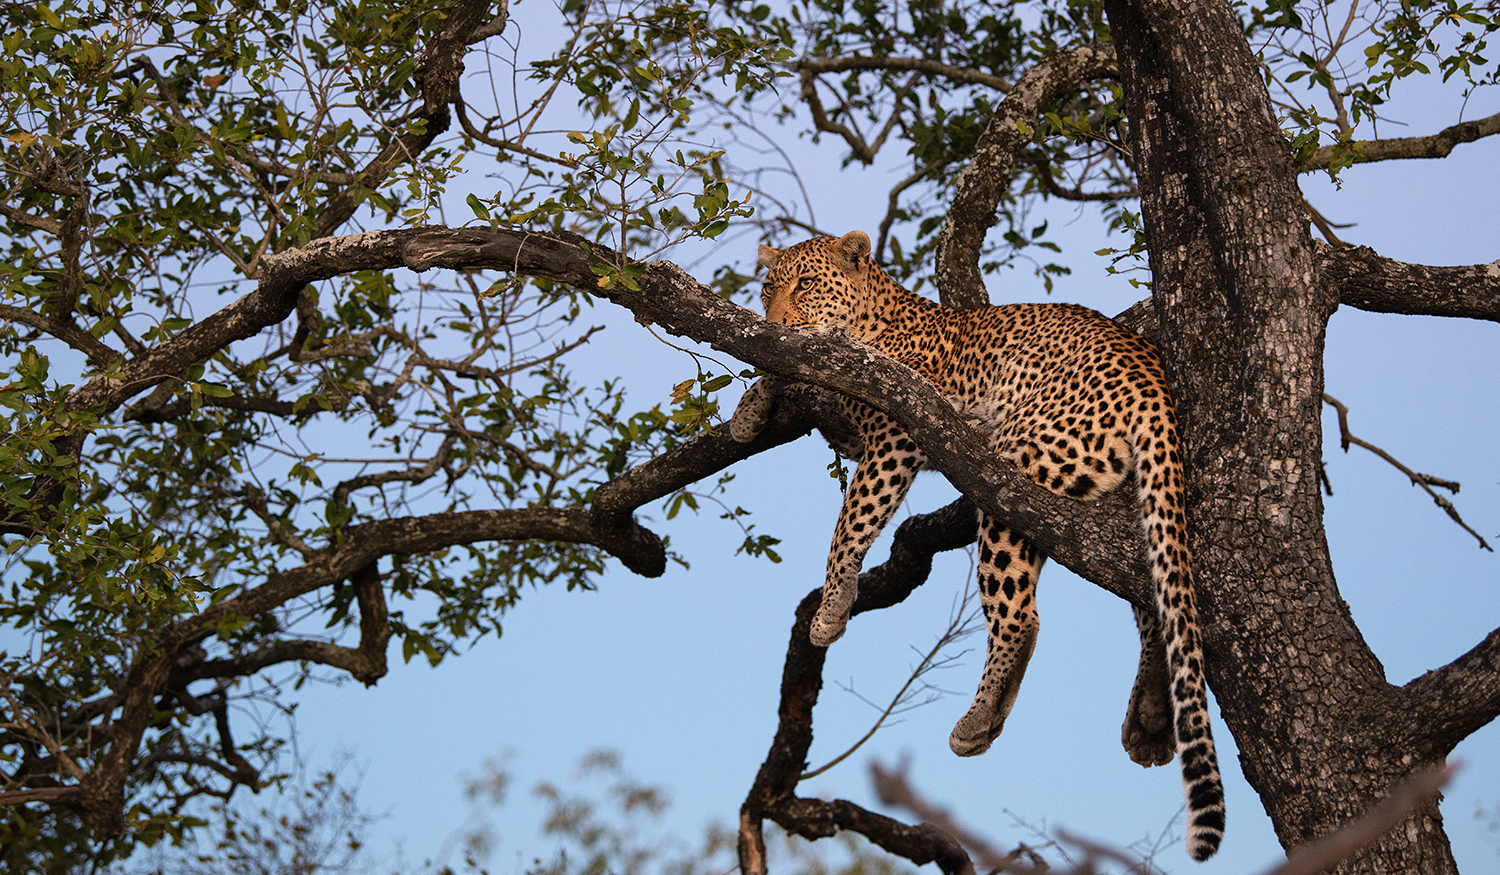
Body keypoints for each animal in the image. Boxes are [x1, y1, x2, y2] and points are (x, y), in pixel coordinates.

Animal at [732, 228, 1224, 864]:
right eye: (767, 289)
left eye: (808, 284)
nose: (774, 324)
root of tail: (1153, 381)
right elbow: (781, 375)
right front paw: (748, 411)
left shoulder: (895, 434)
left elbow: (851, 522)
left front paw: (832, 609)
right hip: (1124, 505)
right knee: (1153, 602)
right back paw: (1152, 718)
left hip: (1017, 464)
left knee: (1022, 616)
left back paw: (979, 720)